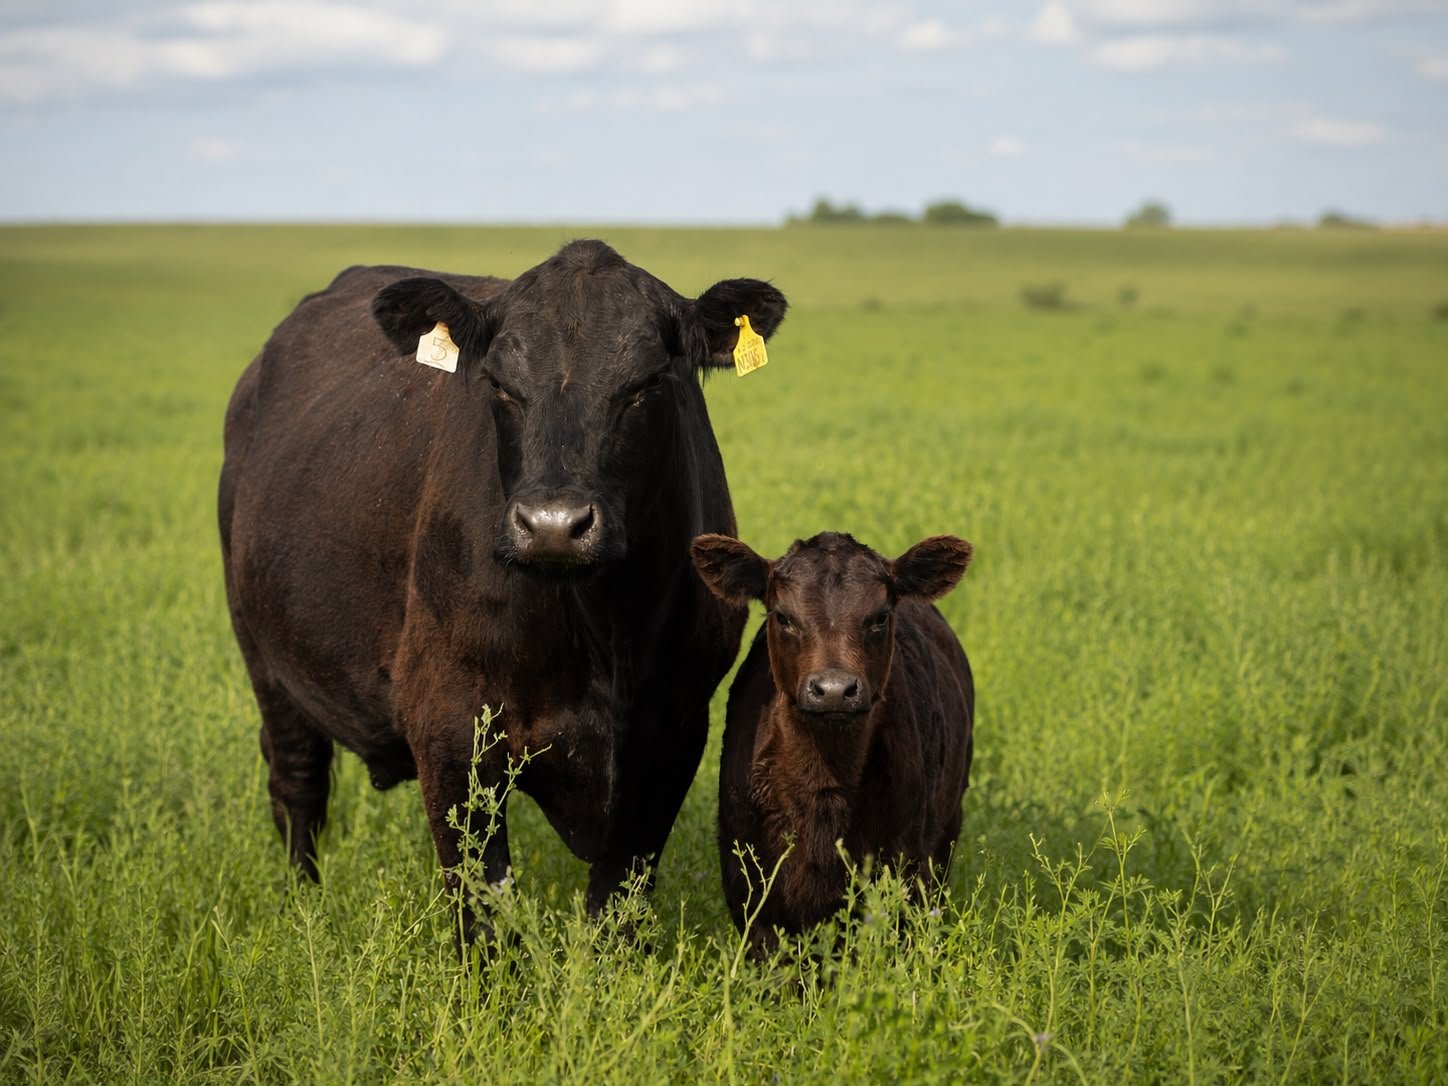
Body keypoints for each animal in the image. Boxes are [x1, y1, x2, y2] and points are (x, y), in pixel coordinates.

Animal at [218, 240, 787, 940]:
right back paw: (303, 906)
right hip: (263, 653)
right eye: (498, 383)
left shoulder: (674, 727)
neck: (599, 630)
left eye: (648, 383)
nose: (553, 525)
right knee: (298, 782)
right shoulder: (448, 725)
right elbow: (482, 908)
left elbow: (616, 905)